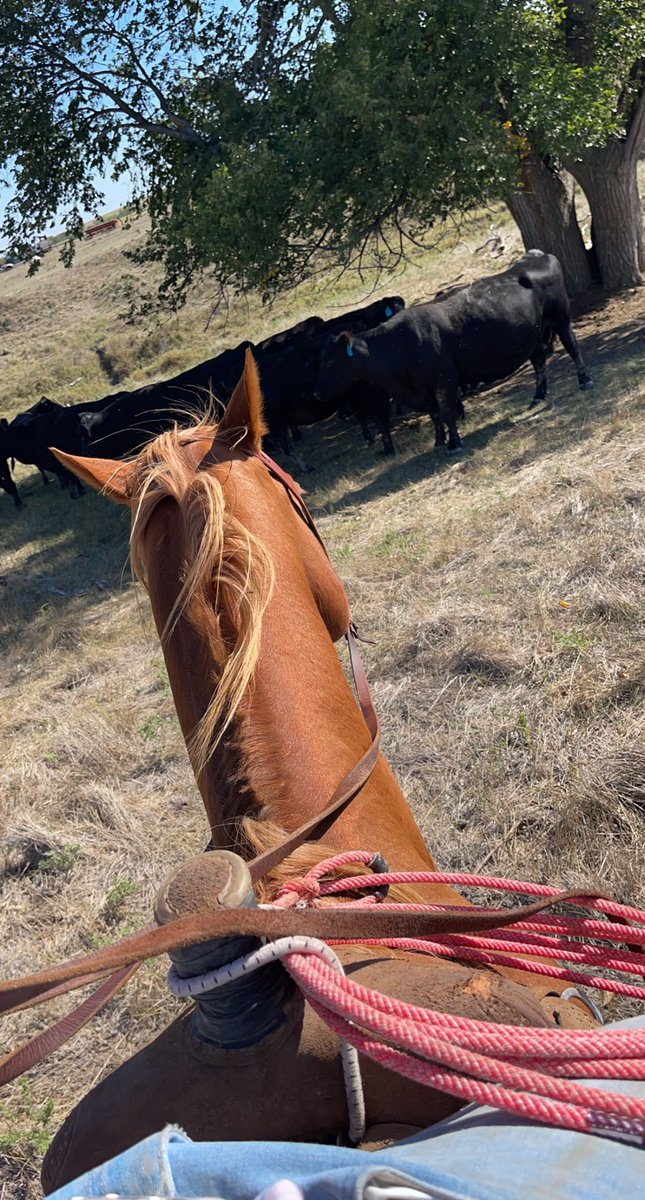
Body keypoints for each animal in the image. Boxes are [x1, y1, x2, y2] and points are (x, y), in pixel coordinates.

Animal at [314, 253, 592, 453]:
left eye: (331, 361)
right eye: (321, 359)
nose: (317, 393)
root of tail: (538, 255)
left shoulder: (444, 379)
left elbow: (447, 413)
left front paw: (454, 443)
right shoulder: (423, 389)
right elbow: (435, 415)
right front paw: (439, 440)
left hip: (561, 319)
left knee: (573, 348)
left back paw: (584, 381)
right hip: (534, 336)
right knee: (539, 363)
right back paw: (538, 396)